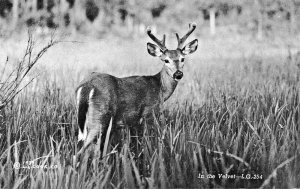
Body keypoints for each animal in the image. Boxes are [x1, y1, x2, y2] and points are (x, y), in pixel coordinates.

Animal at [74, 22, 198, 164]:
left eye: (182, 59)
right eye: (166, 60)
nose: (178, 74)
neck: (159, 88)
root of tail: (86, 86)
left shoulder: (119, 125)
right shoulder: (148, 113)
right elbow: (145, 142)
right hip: (99, 118)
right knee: (81, 153)